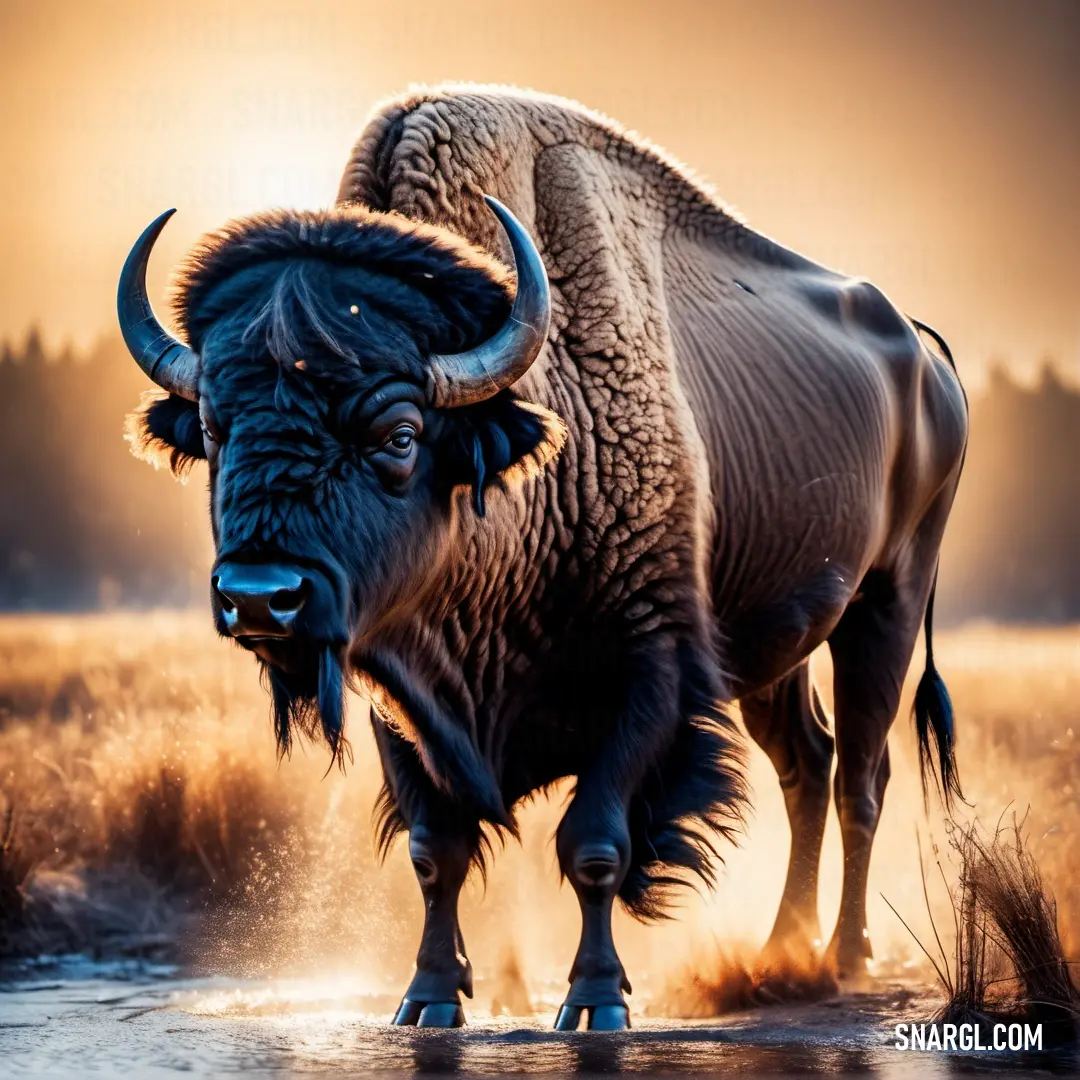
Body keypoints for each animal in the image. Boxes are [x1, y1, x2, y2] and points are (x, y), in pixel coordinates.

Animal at [120, 86, 972, 1028]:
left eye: (400, 434)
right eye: (212, 429)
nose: (259, 597)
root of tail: (923, 353)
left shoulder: (648, 675)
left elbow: (594, 845)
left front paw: (596, 1002)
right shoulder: (402, 697)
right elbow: (437, 850)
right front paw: (429, 999)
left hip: (888, 599)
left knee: (862, 770)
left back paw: (844, 957)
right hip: (778, 641)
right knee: (807, 764)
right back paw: (782, 950)